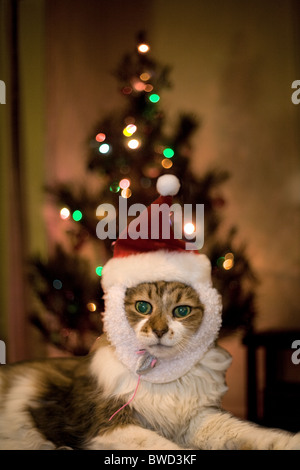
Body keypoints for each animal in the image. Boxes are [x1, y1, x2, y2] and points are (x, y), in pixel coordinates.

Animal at [0, 280, 300, 450]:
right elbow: (164, 446)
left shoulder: (197, 419)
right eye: (143, 307)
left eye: (181, 311)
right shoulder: (109, 425)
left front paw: (289, 441)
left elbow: (253, 433)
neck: (164, 376)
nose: (158, 330)